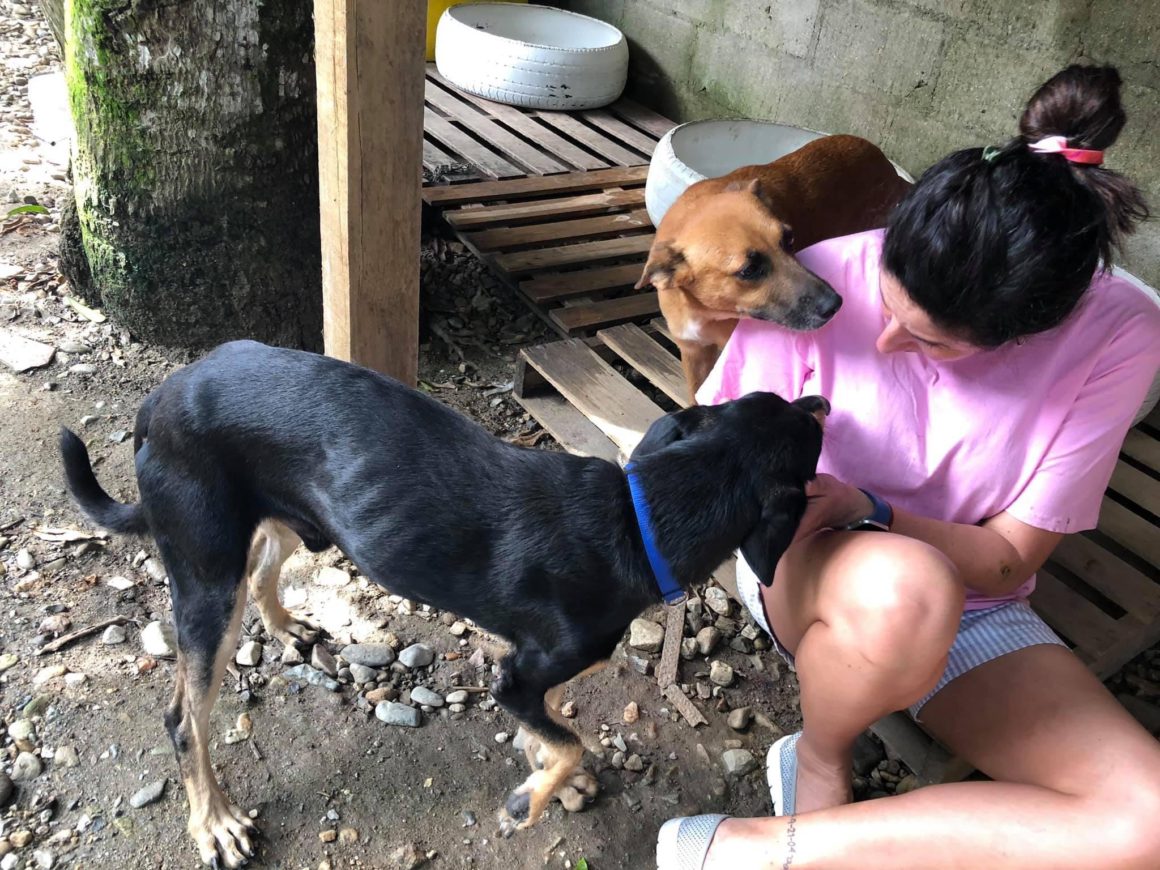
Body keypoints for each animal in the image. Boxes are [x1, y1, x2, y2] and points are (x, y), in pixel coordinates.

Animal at [58, 343, 825, 870]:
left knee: (269, 563)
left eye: (775, 402)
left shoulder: (526, 674)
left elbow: (550, 729)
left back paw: (286, 627)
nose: (820, 402)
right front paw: (530, 799)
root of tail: (160, 398)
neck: (639, 516)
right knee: (183, 716)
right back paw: (214, 822)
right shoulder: (520, 674)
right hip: (205, 577)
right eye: (810, 438)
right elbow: (570, 741)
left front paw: (543, 776)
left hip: (282, 518)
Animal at [640, 133, 909, 401]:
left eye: (789, 239)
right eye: (748, 270)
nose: (835, 304)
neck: (705, 312)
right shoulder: (694, 353)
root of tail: (886, 165)